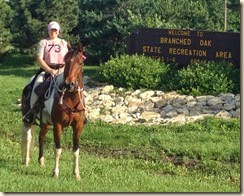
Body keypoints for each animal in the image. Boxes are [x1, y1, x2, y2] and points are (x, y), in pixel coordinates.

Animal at [21, 43, 86, 181]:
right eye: (66, 61)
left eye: (80, 62)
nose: (69, 84)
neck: (70, 97)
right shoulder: (58, 125)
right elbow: (58, 149)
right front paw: (55, 173)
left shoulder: (78, 126)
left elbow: (76, 150)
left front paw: (76, 174)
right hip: (28, 120)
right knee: (28, 138)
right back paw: (26, 161)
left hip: (45, 123)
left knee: (41, 137)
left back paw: (41, 161)